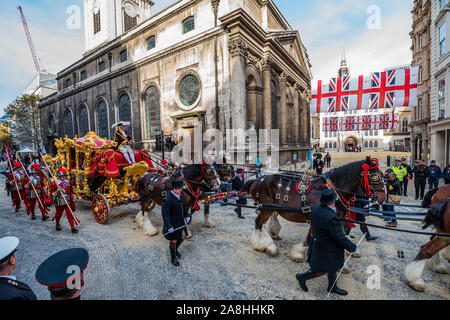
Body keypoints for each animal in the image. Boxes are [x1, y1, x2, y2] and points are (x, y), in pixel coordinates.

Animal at [241, 156, 384, 262]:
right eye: (375, 176)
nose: (382, 197)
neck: (333, 190)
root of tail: (258, 179)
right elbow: (310, 239)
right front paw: (299, 254)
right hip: (266, 209)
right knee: (258, 224)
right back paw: (265, 246)